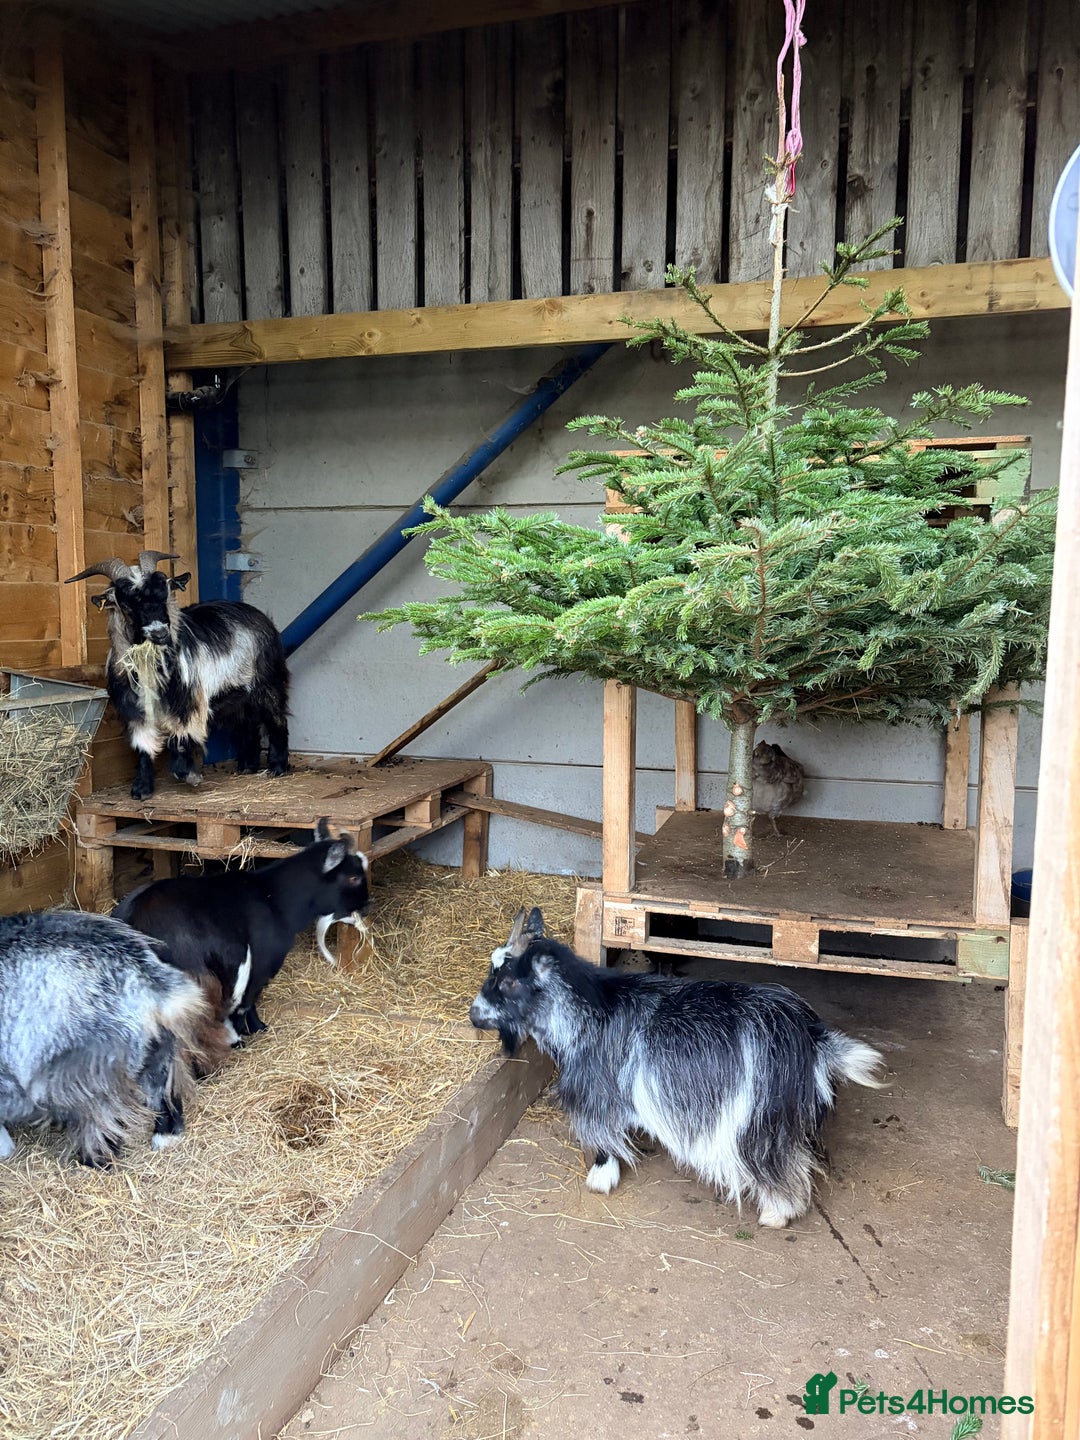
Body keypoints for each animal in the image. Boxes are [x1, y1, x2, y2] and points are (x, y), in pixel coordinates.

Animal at [0, 910, 217, 1165]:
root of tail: (144, 978)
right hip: (156, 1050)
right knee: (162, 1091)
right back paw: (165, 1135)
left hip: (85, 1073)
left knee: (99, 1117)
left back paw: (95, 1158)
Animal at [66, 550, 290, 800]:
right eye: (125, 603)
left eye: (164, 594)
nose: (160, 633)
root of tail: (257, 614)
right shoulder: (135, 709)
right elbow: (143, 745)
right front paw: (141, 789)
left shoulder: (188, 701)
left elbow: (181, 740)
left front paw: (189, 775)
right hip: (237, 696)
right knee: (248, 724)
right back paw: (247, 766)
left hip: (267, 681)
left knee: (276, 718)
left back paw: (277, 767)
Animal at [114, 819, 371, 1046]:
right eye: (353, 877)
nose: (369, 903)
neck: (273, 896)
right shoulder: (261, 963)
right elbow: (247, 1002)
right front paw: (252, 1030)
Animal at [471, 908, 886, 1228]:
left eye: (508, 982)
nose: (475, 1014)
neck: (591, 1013)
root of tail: (811, 1035)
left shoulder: (597, 1094)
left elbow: (602, 1139)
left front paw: (601, 1177)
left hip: (756, 1120)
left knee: (776, 1163)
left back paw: (777, 1214)